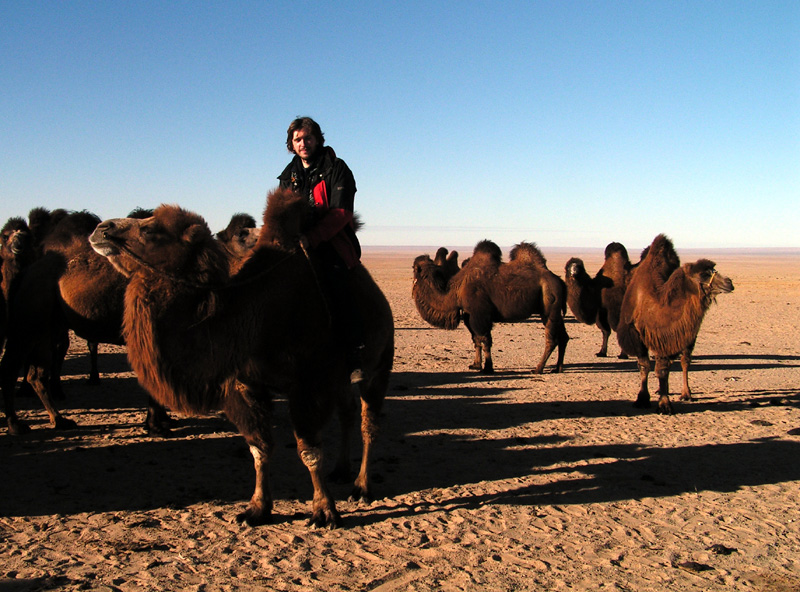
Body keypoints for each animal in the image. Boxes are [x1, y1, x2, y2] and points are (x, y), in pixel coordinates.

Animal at [89, 188, 396, 528]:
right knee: (348, 412)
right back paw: (342, 470)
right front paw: (257, 509)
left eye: (150, 229)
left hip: (380, 362)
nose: (100, 229)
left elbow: (309, 450)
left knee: (369, 423)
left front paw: (324, 511)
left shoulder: (309, 384)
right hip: (340, 377)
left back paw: (362, 487)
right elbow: (259, 449)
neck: (252, 315)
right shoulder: (245, 384)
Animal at [412, 238, 568, 372]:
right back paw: (557, 368)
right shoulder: (469, 315)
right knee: (563, 337)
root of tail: (560, 281)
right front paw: (475, 365)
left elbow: (485, 340)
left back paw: (538, 368)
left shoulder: (480, 315)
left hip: (549, 307)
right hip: (554, 310)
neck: (456, 290)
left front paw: (488, 368)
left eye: (414, 267)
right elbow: (476, 340)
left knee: (551, 339)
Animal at [616, 234, 736, 414]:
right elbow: (645, 366)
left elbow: (663, 369)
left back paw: (686, 393)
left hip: (689, 336)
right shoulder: (638, 334)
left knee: (685, 361)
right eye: (703, 274)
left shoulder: (669, 335)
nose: (729, 282)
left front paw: (664, 404)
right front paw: (642, 399)